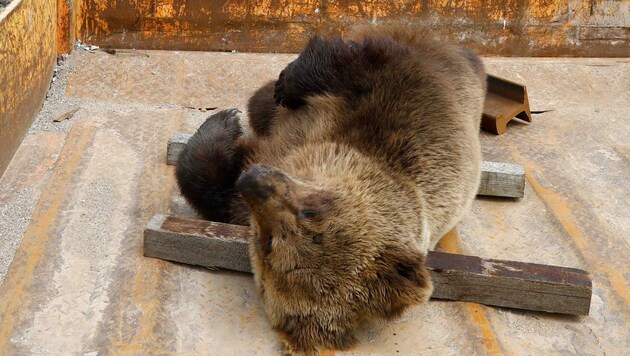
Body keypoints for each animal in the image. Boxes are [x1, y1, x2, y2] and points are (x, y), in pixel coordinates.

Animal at [178, 23, 488, 356]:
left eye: (267, 243)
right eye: (311, 209)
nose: (253, 180)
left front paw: (223, 122)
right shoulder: (398, 101)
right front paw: (250, 105)